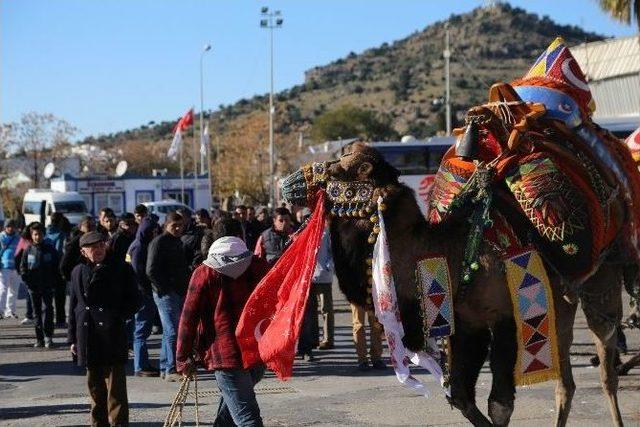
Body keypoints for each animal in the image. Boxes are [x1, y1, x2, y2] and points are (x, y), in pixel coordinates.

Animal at [272, 38, 640, 426]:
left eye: (342, 168)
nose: (288, 182)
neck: (448, 251)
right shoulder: (467, 324)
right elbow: (461, 396)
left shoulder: (509, 314)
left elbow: (499, 404)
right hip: (562, 297)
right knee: (565, 380)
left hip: (602, 278)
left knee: (605, 362)